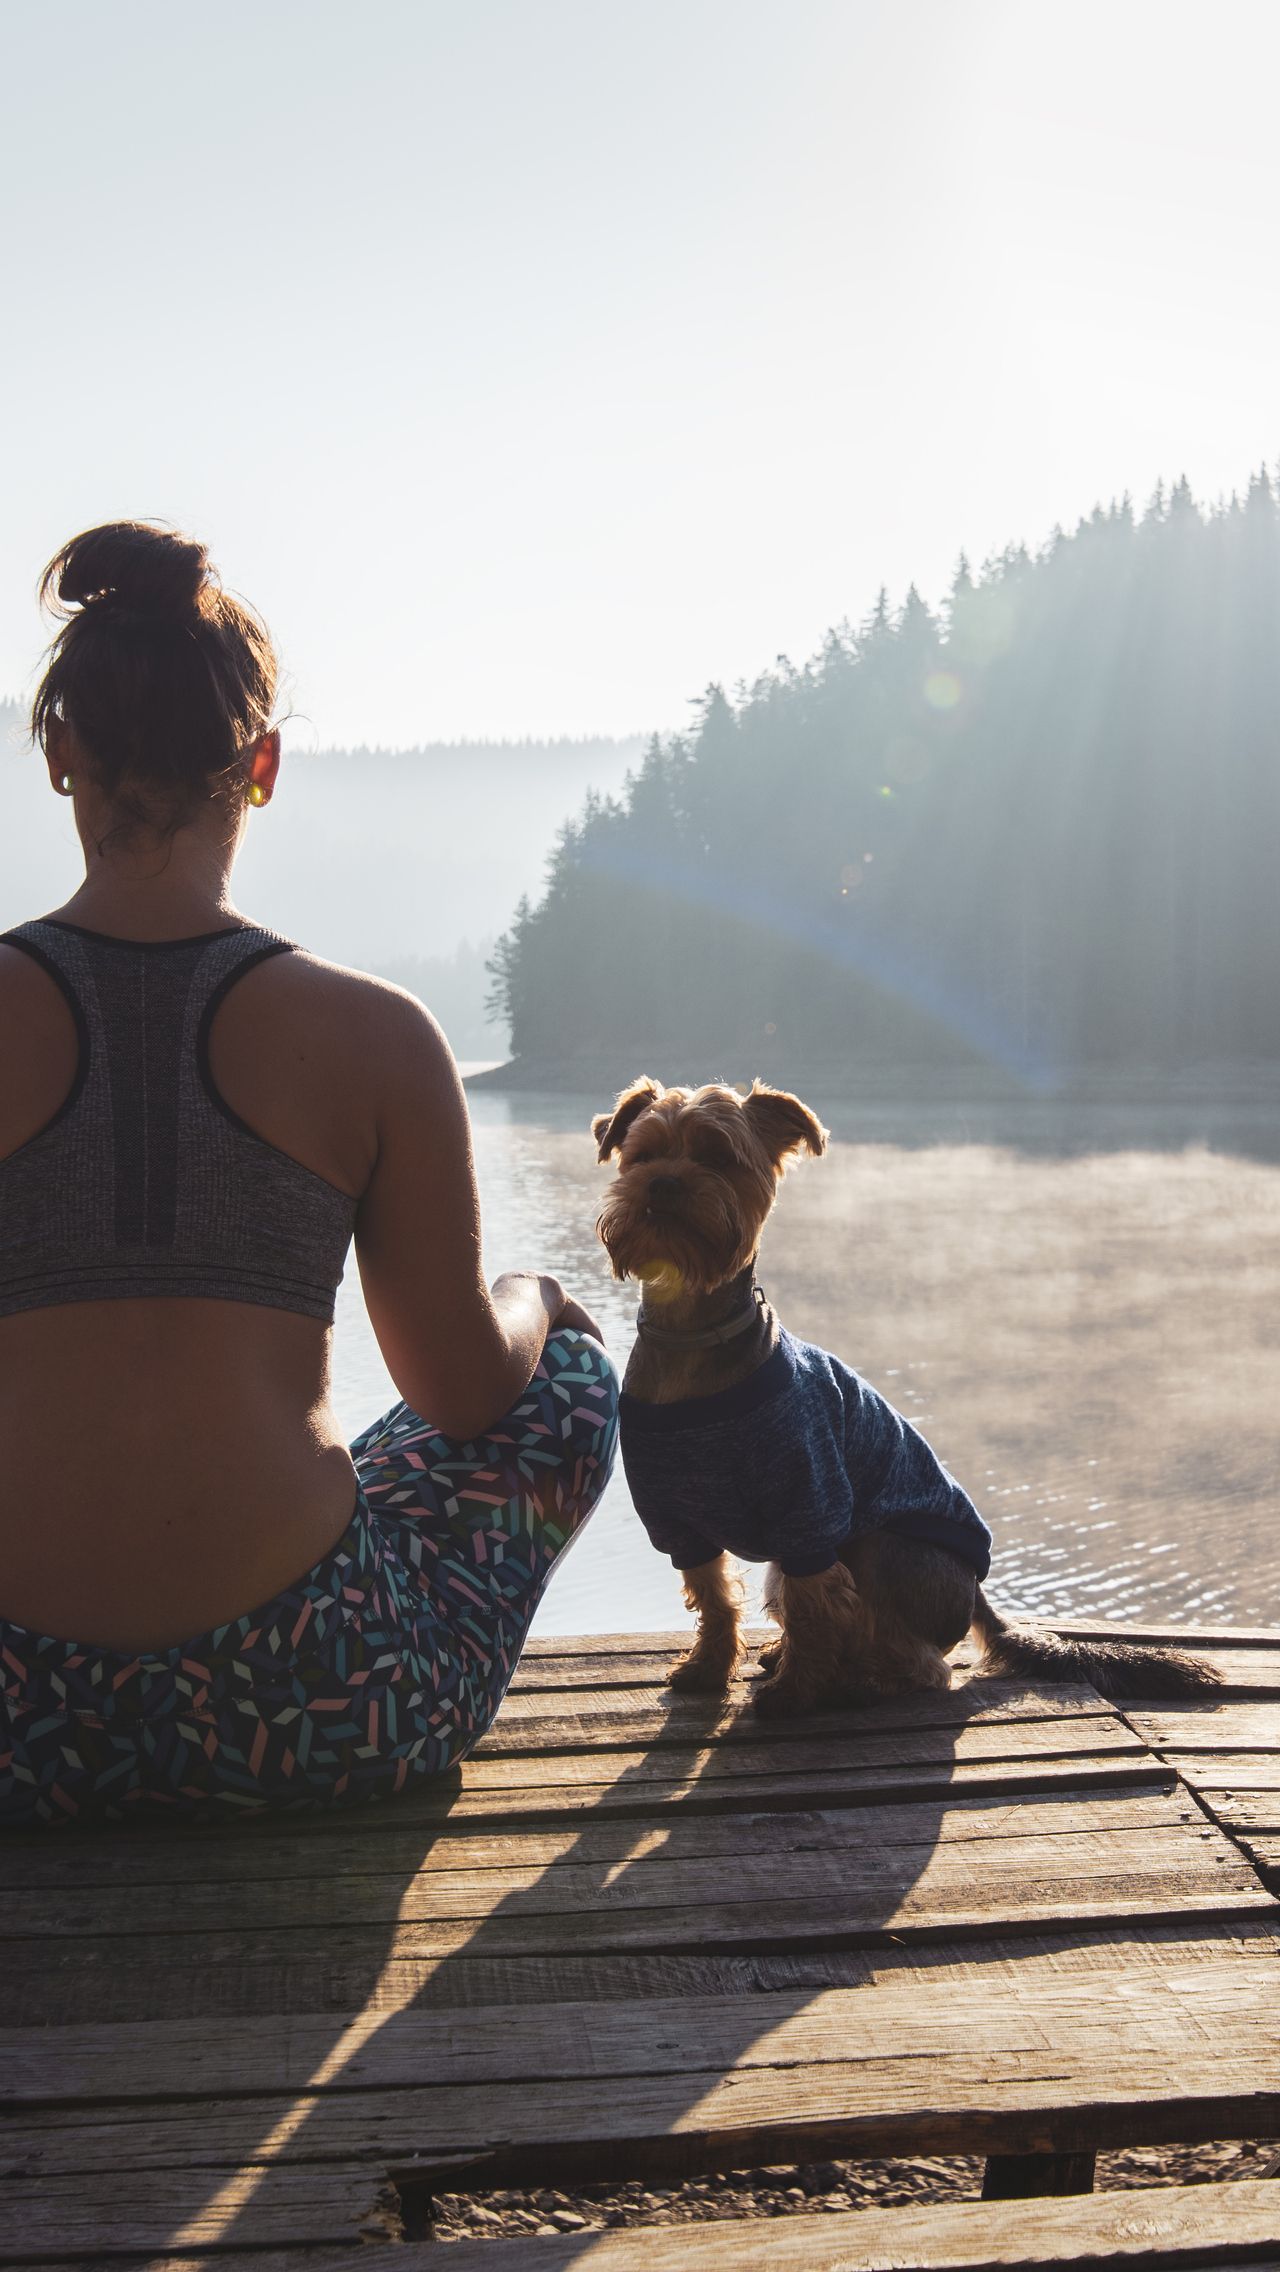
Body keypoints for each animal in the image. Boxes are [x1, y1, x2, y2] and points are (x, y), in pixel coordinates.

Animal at [595, 1072, 1218, 1708]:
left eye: (718, 1156)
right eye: (642, 1155)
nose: (663, 1183)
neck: (693, 1337)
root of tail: (979, 1594)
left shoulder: (813, 1509)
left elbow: (813, 1606)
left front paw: (794, 1693)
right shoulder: (676, 1521)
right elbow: (716, 1598)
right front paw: (708, 1669)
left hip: (883, 1543)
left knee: (920, 1661)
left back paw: (858, 1680)